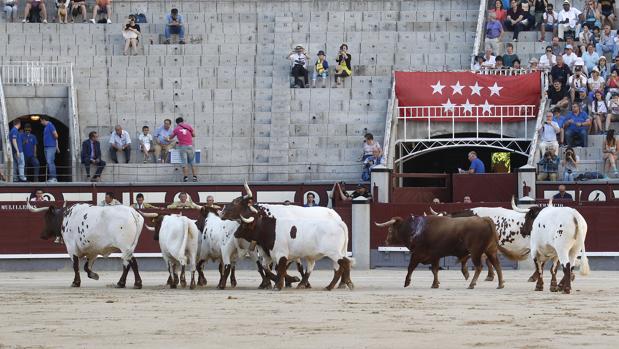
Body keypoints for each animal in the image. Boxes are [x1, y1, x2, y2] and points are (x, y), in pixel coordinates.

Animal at [378, 215, 528, 288]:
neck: (414, 230)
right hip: (490, 250)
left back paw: (472, 284)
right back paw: (500, 284)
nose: (386, 241)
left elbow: (410, 267)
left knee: (479, 267)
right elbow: (435, 270)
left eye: (390, 230)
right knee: (497, 265)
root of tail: (484, 218)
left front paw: (407, 282)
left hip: (476, 251)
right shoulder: (435, 255)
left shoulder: (418, 253)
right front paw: (435, 284)